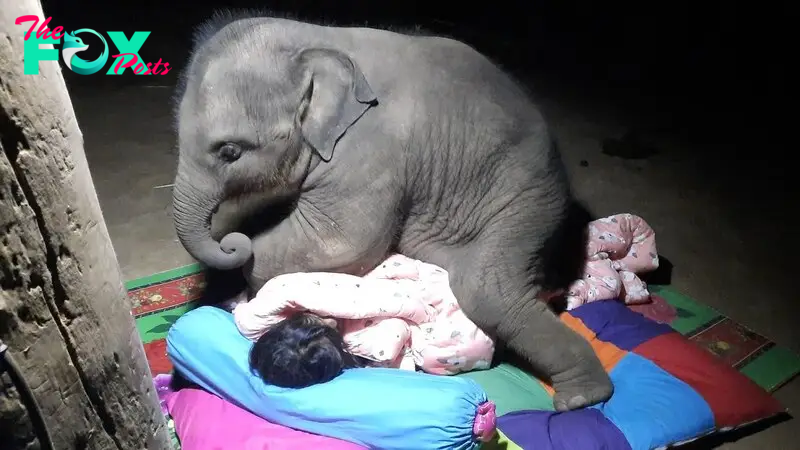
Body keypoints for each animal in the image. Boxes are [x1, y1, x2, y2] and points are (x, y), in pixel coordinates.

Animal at [173, 11, 612, 412]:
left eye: (230, 151)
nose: (231, 244)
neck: (318, 40)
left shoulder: (372, 151)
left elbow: (339, 242)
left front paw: (244, 287)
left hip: (528, 202)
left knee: (488, 291)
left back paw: (582, 398)